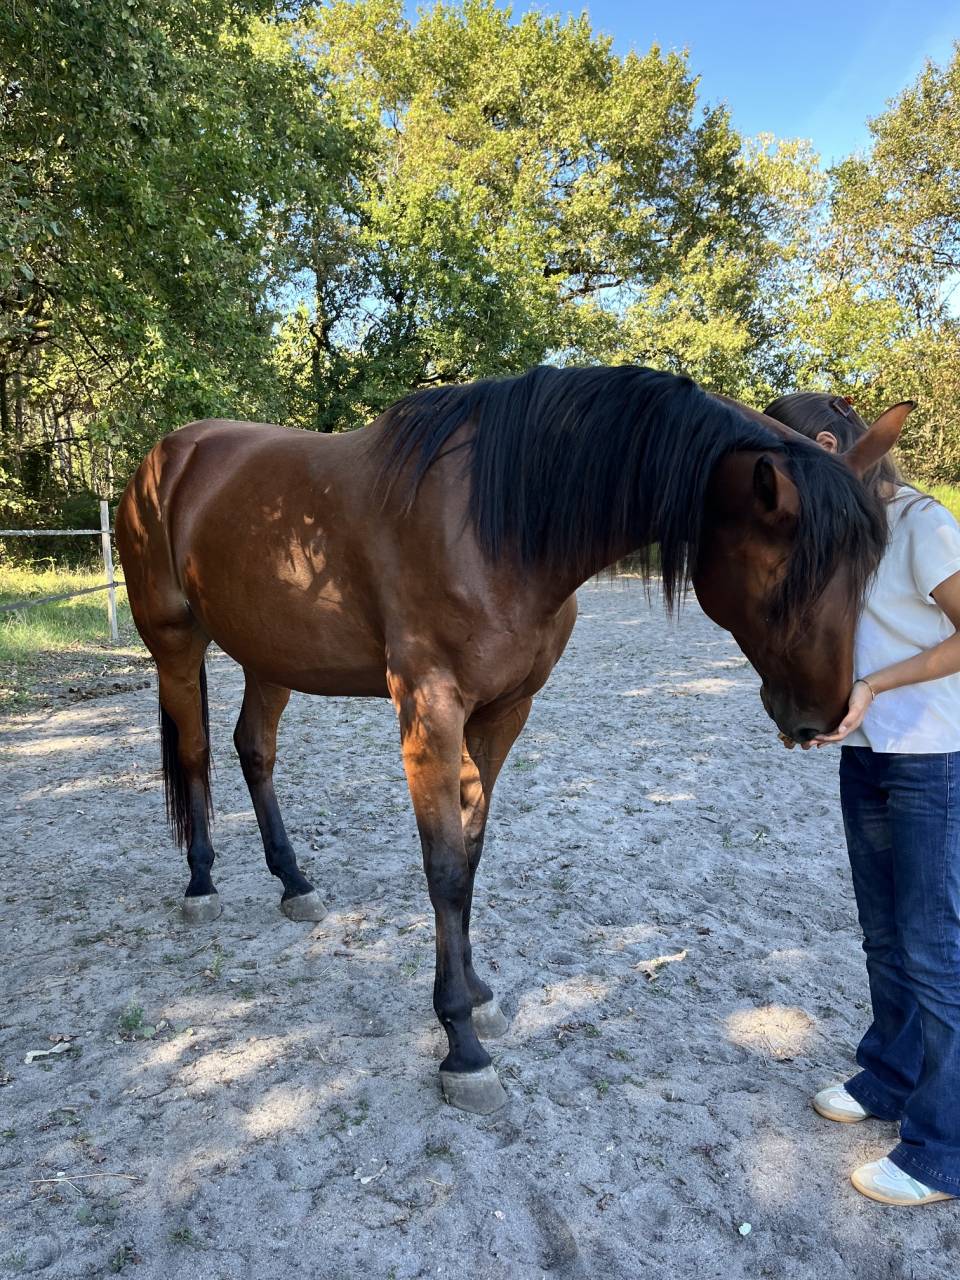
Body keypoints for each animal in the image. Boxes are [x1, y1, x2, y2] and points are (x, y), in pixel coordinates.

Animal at [115, 364, 909, 1114]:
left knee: (255, 750)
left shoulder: (502, 715)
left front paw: (478, 996)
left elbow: (470, 855)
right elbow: (443, 870)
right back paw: (201, 885)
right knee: (196, 751)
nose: (823, 717)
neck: (496, 523)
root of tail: (168, 457)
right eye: (793, 577)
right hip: (176, 643)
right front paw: (462, 1049)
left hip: (271, 656)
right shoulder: (430, 712)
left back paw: (294, 882)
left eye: (872, 565)